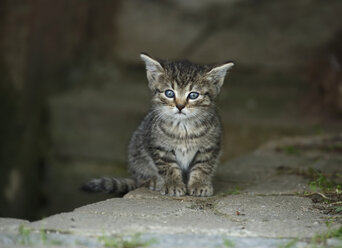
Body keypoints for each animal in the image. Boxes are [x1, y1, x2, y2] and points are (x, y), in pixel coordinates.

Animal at [81, 53, 234, 197]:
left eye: (193, 95)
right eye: (169, 93)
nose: (180, 106)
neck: (183, 128)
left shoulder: (210, 147)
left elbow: (203, 166)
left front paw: (199, 185)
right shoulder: (159, 146)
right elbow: (168, 167)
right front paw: (173, 185)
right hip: (136, 150)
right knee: (142, 178)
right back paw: (153, 181)